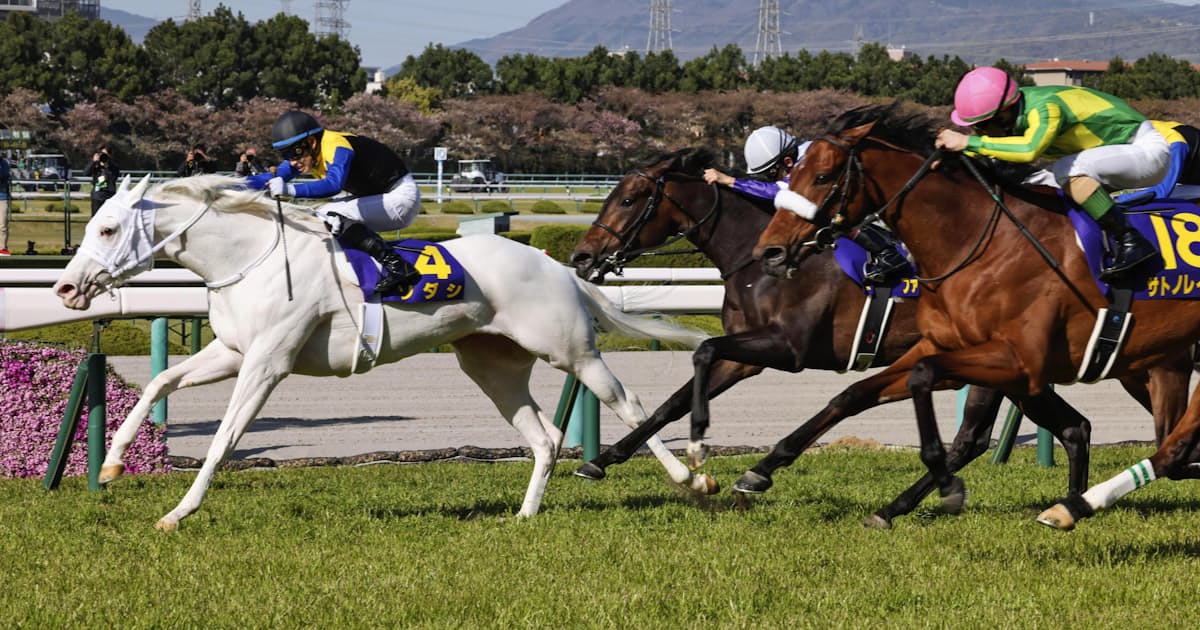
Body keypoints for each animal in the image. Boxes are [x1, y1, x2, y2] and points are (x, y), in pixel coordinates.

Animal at [52, 174, 717, 531]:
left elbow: (223, 440)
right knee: (544, 438)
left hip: (569, 351)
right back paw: (525, 516)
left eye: (107, 228)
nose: (64, 288)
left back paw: (691, 478)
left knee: (628, 402)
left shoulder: (267, 364)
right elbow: (158, 385)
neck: (249, 257)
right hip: (491, 366)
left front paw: (178, 513)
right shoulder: (234, 351)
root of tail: (558, 266)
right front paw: (111, 466)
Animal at [570, 147, 1190, 526]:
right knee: (1065, 428)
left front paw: (705, 452)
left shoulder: (788, 350)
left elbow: (701, 353)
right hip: (1017, 369)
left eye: (629, 198)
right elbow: (677, 394)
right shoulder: (749, 353)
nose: (582, 257)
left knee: (1003, 435)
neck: (758, 257)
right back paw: (1065, 498)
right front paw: (605, 460)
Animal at [748, 103, 1199, 530]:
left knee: (1169, 445)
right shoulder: (944, 346)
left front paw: (946, 485)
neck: (978, 242)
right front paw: (761, 470)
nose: (769, 252)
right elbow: (854, 394)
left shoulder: (1020, 362)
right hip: (1153, 364)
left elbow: (924, 379)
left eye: (823, 177)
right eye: (792, 174)